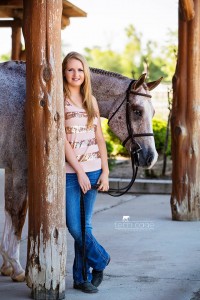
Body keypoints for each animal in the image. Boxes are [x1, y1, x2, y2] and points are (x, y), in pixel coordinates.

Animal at [0, 60, 162, 282]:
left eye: (152, 112)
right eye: (137, 111)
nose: (150, 157)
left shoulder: (10, 169)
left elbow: (9, 210)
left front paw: (6, 265)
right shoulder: (20, 169)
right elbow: (17, 213)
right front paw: (16, 268)